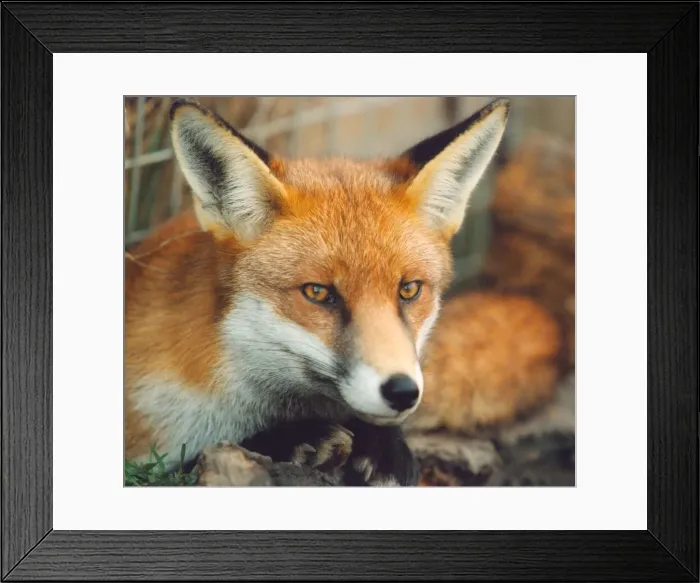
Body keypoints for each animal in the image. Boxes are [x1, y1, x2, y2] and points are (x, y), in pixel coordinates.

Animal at [125, 97, 512, 486]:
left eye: (409, 289)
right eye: (317, 293)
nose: (402, 392)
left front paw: (385, 447)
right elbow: (180, 464)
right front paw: (294, 438)